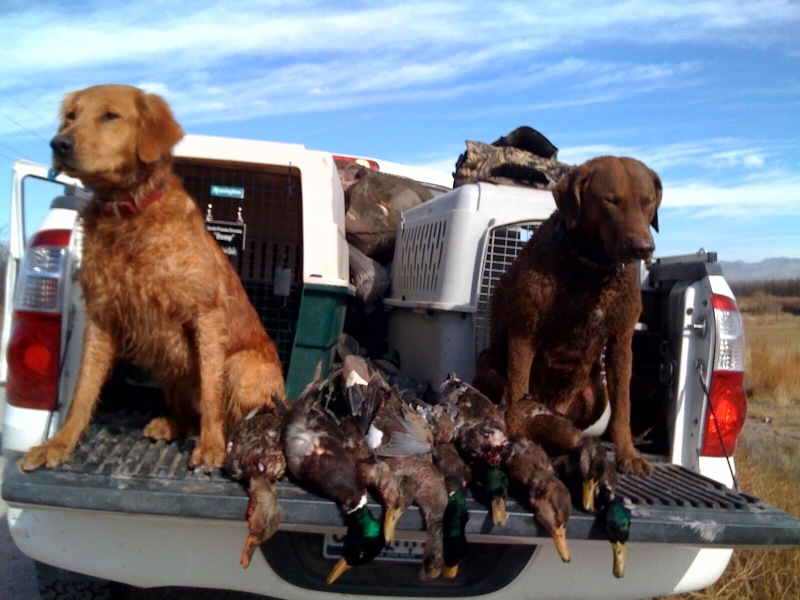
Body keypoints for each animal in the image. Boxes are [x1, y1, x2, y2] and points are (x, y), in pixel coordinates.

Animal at [18, 83, 288, 474]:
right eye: (71, 116)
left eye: (110, 115)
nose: (59, 143)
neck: (128, 217)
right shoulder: (101, 317)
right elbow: (83, 390)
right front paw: (59, 443)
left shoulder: (206, 314)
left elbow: (211, 393)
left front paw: (211, 447)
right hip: (169, 370)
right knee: (189, 414)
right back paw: (170, 425)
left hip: (240, 366)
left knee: (236, 415)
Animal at [478, 157, 660, 476]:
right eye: (610, 200)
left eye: (647, 202)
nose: (643, 247)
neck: (592, 269)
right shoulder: (523, 332)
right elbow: (518, 385)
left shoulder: (621, 343)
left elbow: (623, 406)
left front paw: (628, 454)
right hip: (487, 363)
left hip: (596, 393)